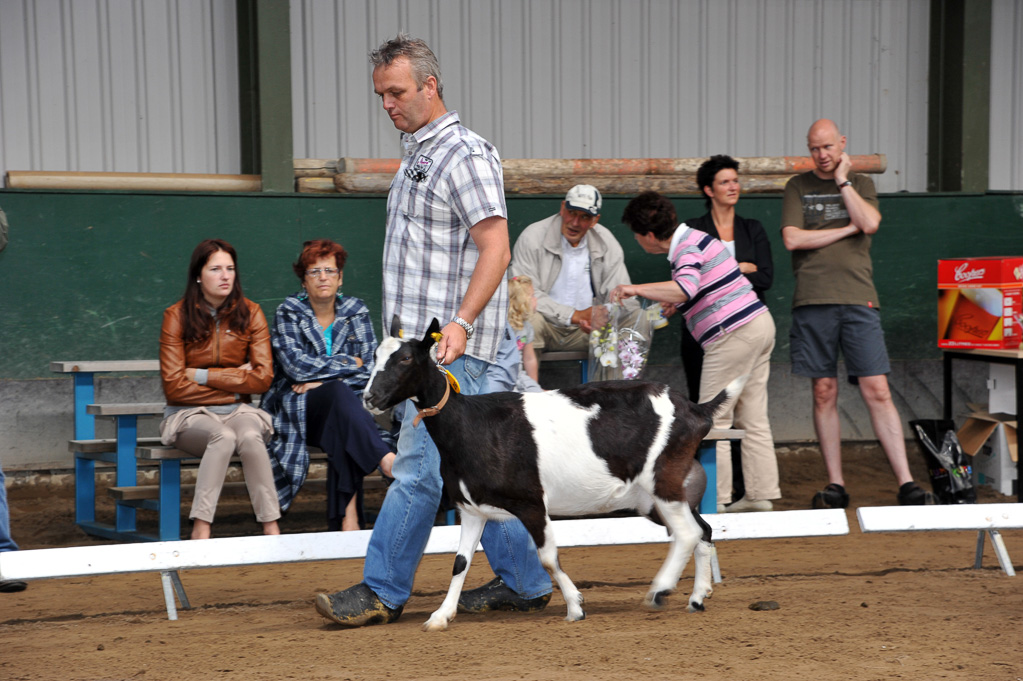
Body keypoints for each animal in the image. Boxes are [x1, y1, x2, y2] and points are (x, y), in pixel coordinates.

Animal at [366, 319, 744, 629]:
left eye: (405, 359)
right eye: (374, 356)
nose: (370, 397)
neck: (471, 425)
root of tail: (696, 409)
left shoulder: (531, 503)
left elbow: (548, 557)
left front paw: (575, 606)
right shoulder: (471, 509)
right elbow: (460, 562)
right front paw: (440, 616)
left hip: (662, 479)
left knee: (687, 533)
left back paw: (661, 590)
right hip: (655, 497)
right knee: (702, 529)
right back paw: (697, 598)